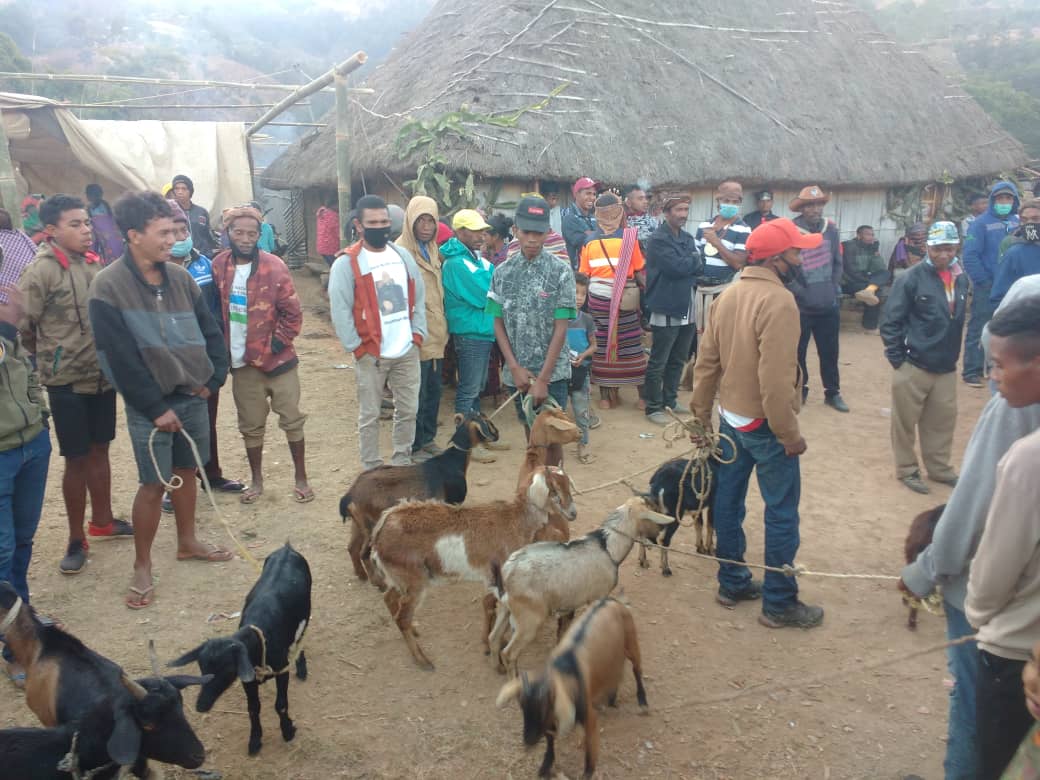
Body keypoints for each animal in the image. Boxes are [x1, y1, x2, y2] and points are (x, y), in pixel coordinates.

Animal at [169, 542, 311, 756]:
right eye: (201, 667)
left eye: (228, 669)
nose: (201, 706)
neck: (261, 640)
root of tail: (286, 548)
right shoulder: (249, 680)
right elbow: (253, 708)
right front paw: (255, 740)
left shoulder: (281, 670)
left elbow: (281, 705)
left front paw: (287, 731)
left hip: (305, 613)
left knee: (301, 638)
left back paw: (301, 667)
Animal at [340, 411, 499, 582]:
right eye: (487, 421)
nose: (497, 434)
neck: (452, 461)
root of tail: (350, 494)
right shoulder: (453, 503)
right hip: (371, 525)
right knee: (364, 553)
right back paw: (378, 582)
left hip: (358, 523)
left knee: (352, 548)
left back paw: (361, 575)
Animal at [369, 465, 577, 670]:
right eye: (554, 489)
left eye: (568, 484)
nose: (573, 513)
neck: (514, 520)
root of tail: (382, 529)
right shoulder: (500, 577)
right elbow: (495, 611)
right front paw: (493, 651)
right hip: (415, 582)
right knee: (402, 617)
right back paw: (422, 660)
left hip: (398, 578)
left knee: (390, 599)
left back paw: (414, 631)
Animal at [488, 496, 673, 675]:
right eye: (653, 517)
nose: (658, 536)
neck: (608, 547)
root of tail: (508, 571)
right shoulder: (598, 597)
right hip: (529, 620)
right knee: (509, 653)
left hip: (505, 609)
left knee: (494, 638)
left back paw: (498, 668)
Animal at [496, 597, 648, 779]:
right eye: (522, 706)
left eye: (544, 707)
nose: (528, 740)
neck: (566, 670)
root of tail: (610, 600)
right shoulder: (550, 722)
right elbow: (550, 740)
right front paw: (545, 766)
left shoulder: (588, 717)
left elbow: (590, 752)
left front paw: (587, 772)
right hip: (613, 654)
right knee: (616, 672)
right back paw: (612, 699)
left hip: (631, 642)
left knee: (636, 669)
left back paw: (642, 702)